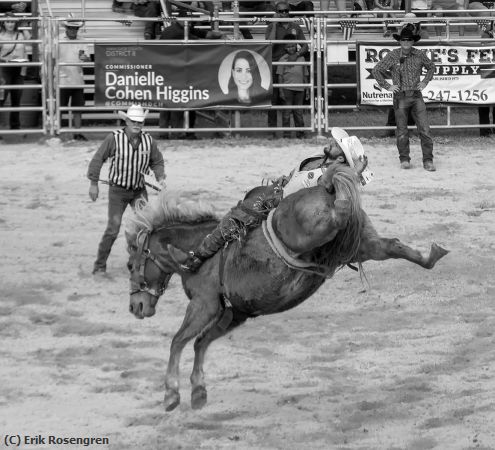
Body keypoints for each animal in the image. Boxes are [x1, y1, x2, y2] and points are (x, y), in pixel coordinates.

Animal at [125, 163, 450, 410]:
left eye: (130, 265)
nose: (135, 306)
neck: (200, 252)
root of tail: (323, 189)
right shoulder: (234, 313)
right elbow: (200, 343)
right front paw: (198, 392)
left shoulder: (204, 304)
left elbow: (178, 341)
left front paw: (171, 394)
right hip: (361, 245)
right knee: (392, 245)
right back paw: (432, 254)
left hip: (313, 232)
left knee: (341, 210)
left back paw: (337, 182)